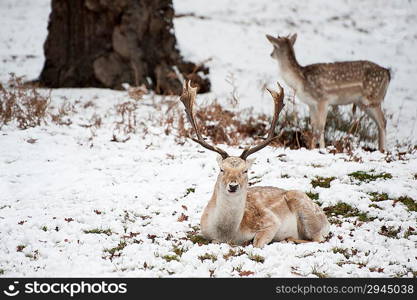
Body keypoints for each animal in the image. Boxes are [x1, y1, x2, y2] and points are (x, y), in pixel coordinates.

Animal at [178, 81, 328, 247]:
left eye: (245, 171)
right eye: (221, 169)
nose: (233, 185)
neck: (228, 234)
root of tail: (326, 220)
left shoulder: (271, 221)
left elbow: (257, 243)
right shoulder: (207, 233)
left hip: (306, 211)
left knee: (319, 239)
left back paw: (288, 239)